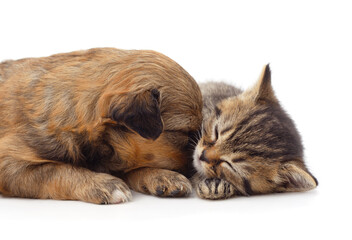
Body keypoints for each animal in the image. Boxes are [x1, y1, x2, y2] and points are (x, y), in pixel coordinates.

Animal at [0, 48, 202, 204]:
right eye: (184, 133)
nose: (199, 167)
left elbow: (134, 167)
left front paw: (164, 176)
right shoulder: (9, 162)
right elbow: (54, 170)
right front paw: (104, 184)